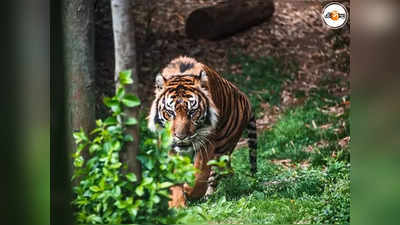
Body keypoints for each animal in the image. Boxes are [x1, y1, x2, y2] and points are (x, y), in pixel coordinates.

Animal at [148, 56, 258, 207]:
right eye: (170, 113)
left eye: (192, 112)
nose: (181, 137)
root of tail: (246, 98)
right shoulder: (169, 144)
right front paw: (177, 204)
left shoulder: (207, 141)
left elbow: (200, 173)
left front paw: (189, 191)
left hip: (223, 148)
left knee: (216, 173)